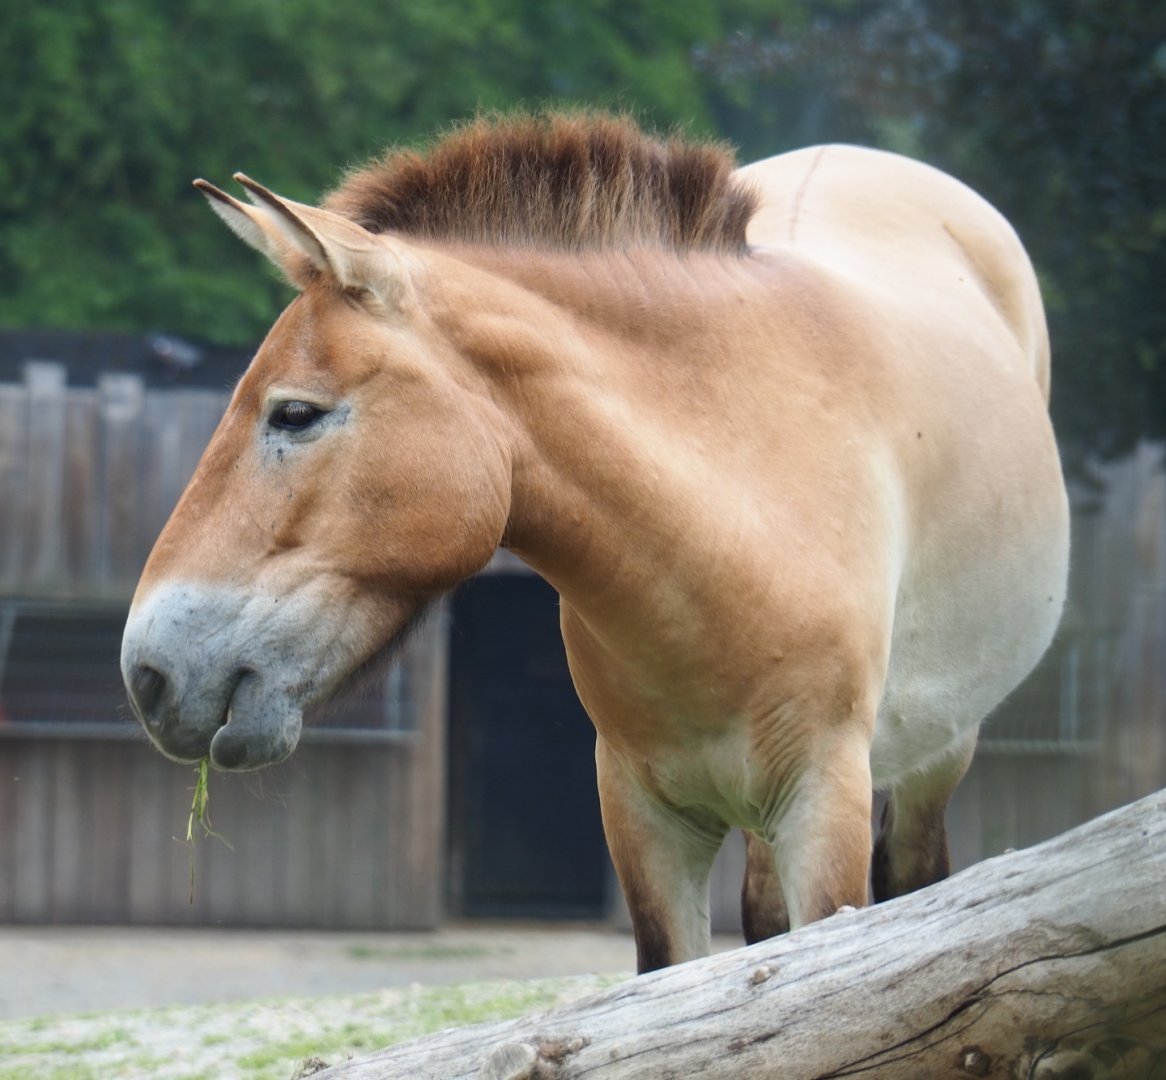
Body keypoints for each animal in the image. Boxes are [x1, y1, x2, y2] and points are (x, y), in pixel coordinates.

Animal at [121, 113, 1069, 973]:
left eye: (294, 413)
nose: (149, 673)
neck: (735, 521)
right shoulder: (641, 814)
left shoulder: (824, 803)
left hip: (936, 755)